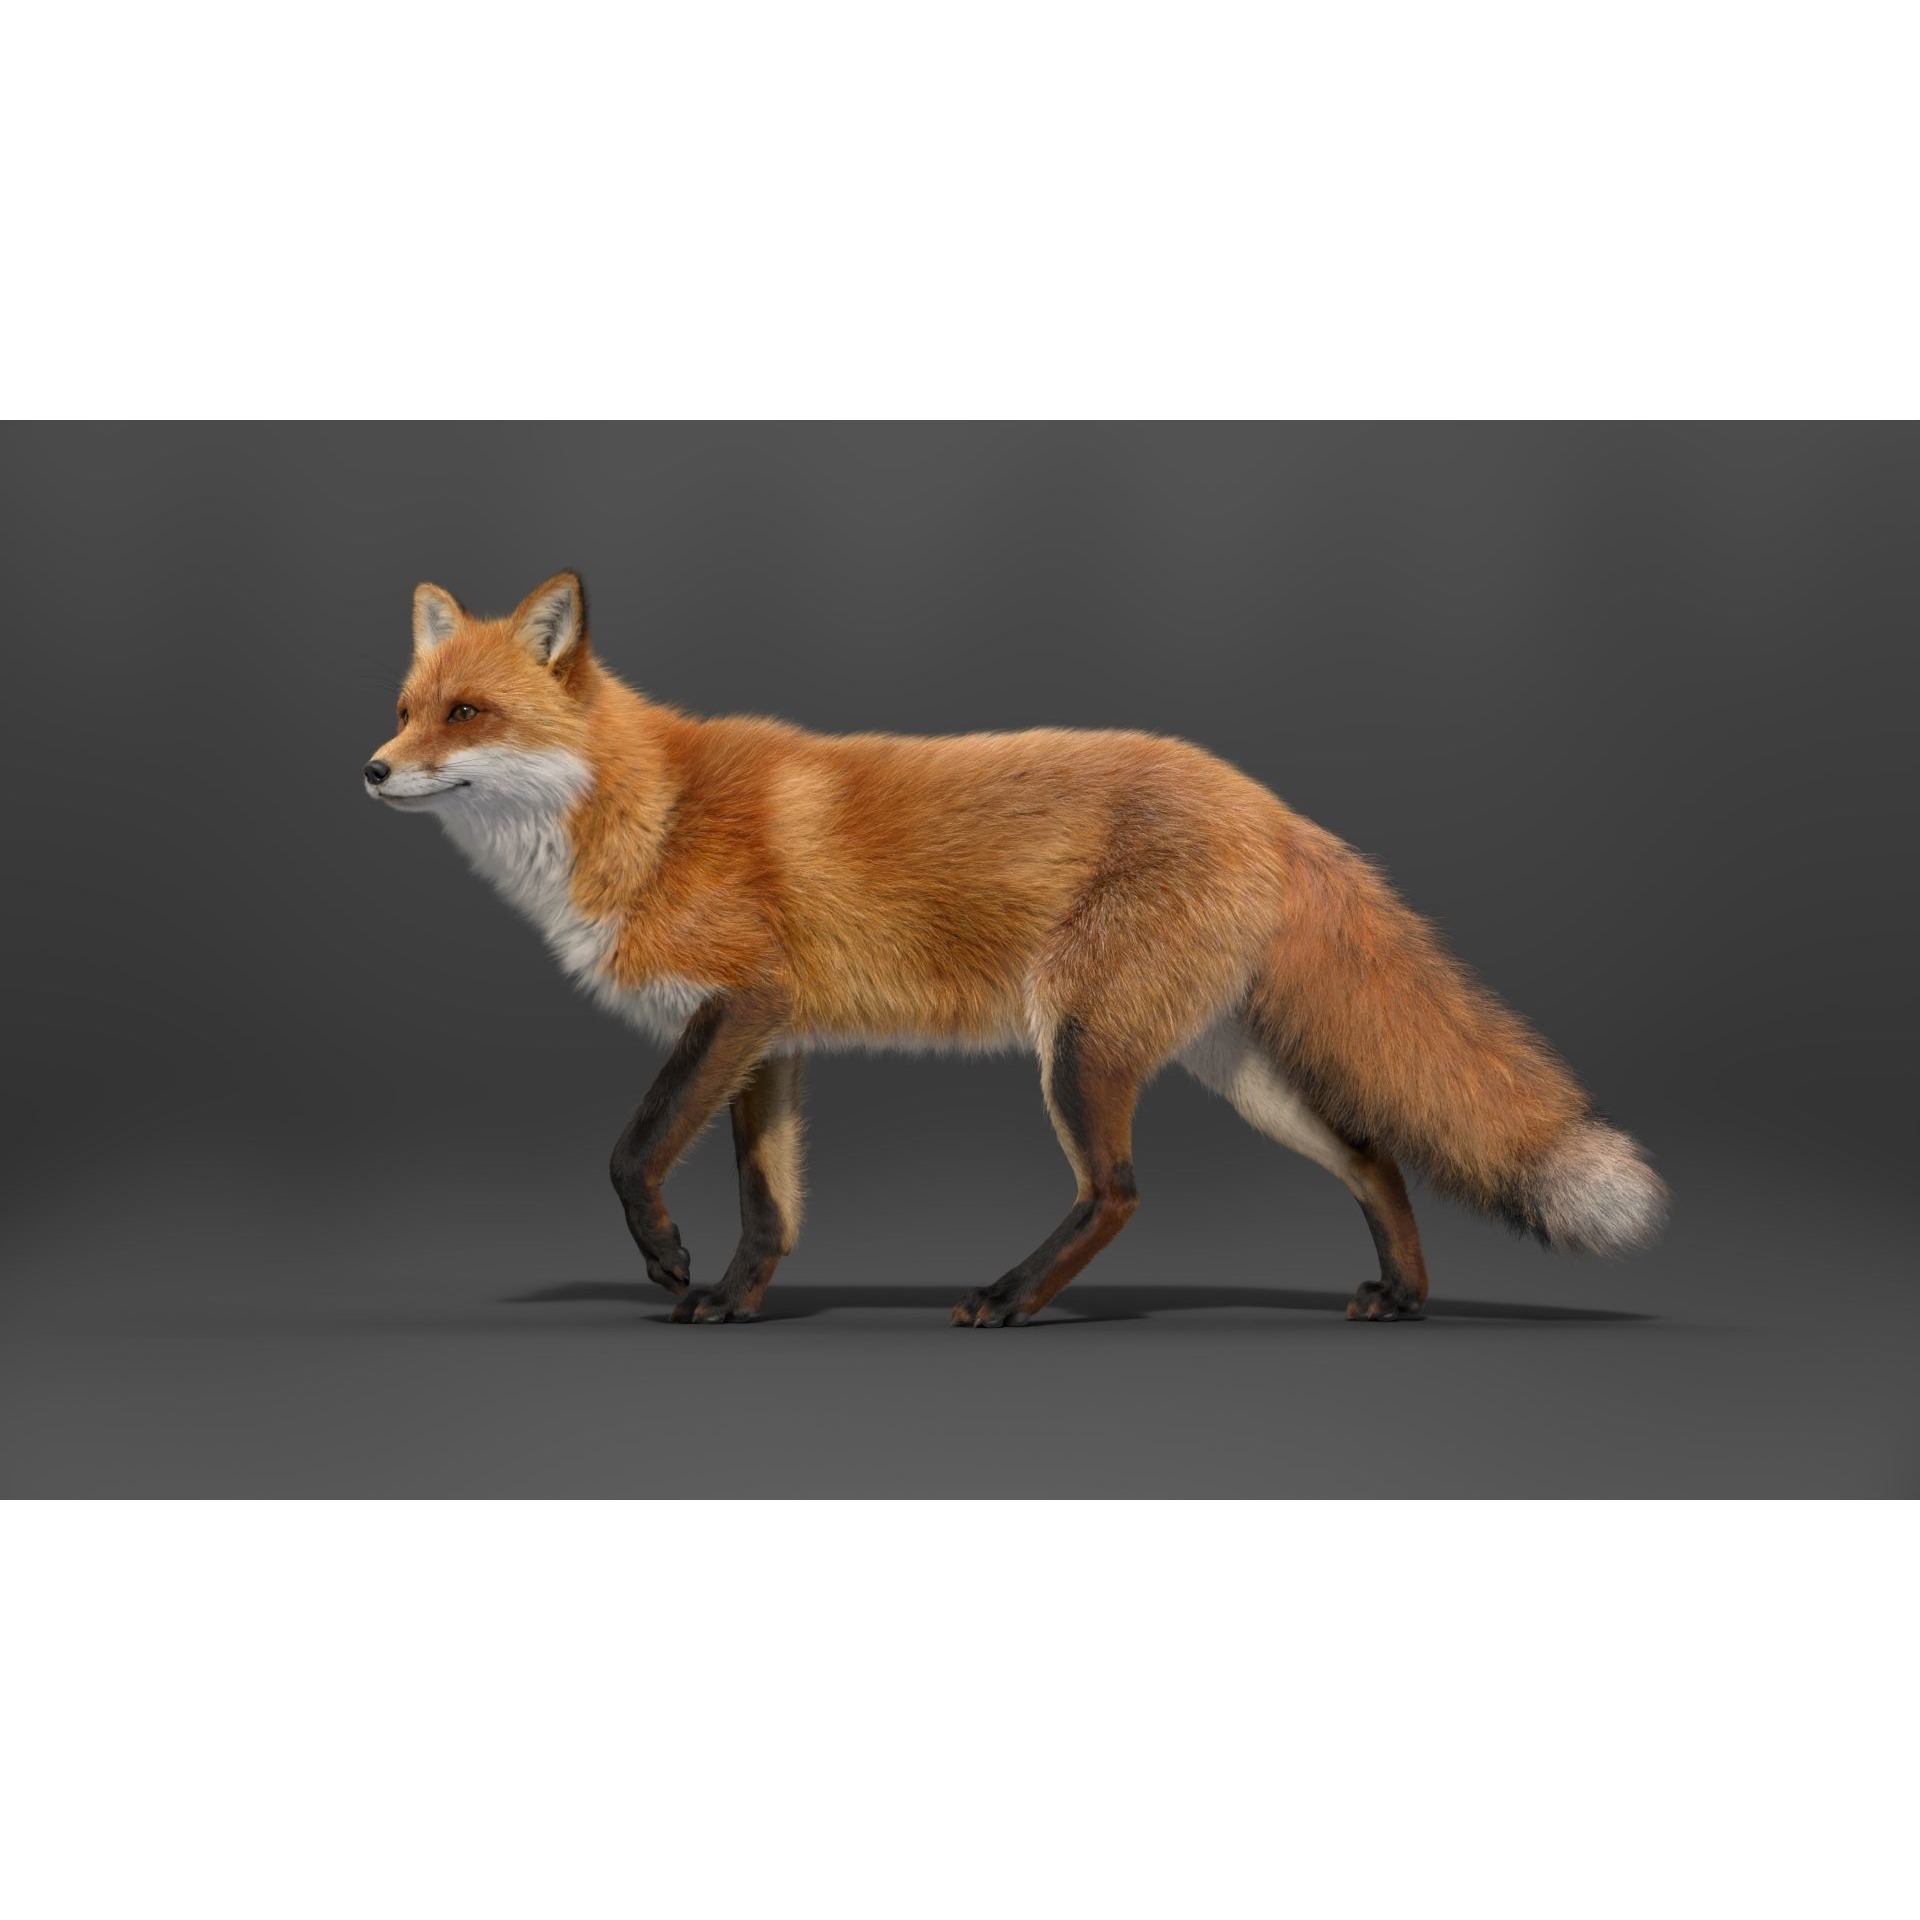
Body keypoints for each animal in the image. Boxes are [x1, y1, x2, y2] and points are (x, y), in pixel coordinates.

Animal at [364, 570, 1667, 1326]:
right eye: (405, 707)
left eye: (467, 715)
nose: (370, 770)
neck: (650, 813)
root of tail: (1268, 803)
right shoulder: (771, 1036)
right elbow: (770, 1204)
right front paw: (734, 1299)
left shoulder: (735, 1008)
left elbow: (631, 1151)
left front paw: (672, 1265)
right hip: (1233, 1072)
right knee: (1372, 1153)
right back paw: (1404, 1294)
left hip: (1077, 1046)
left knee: (1120, 1191)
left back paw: (1009, 1295)